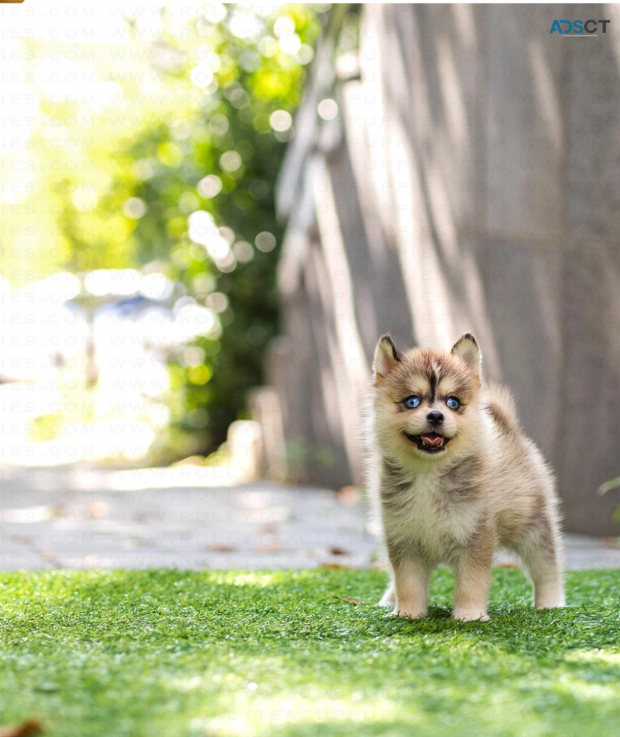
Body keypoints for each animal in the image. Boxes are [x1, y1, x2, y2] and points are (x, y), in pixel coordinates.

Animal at [366, 330, 564, 620]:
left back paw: (551, 603)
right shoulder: (404, 538)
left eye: (453, 402)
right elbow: (408, 583)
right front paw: (408, 614)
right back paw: (389, 600)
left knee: (546, 566)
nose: (436, 416)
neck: (428, 472)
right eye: (412, 401)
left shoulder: (474, 535)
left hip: (531, 526)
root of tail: (510, 429)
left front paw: (470, 616)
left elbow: (472, 582)